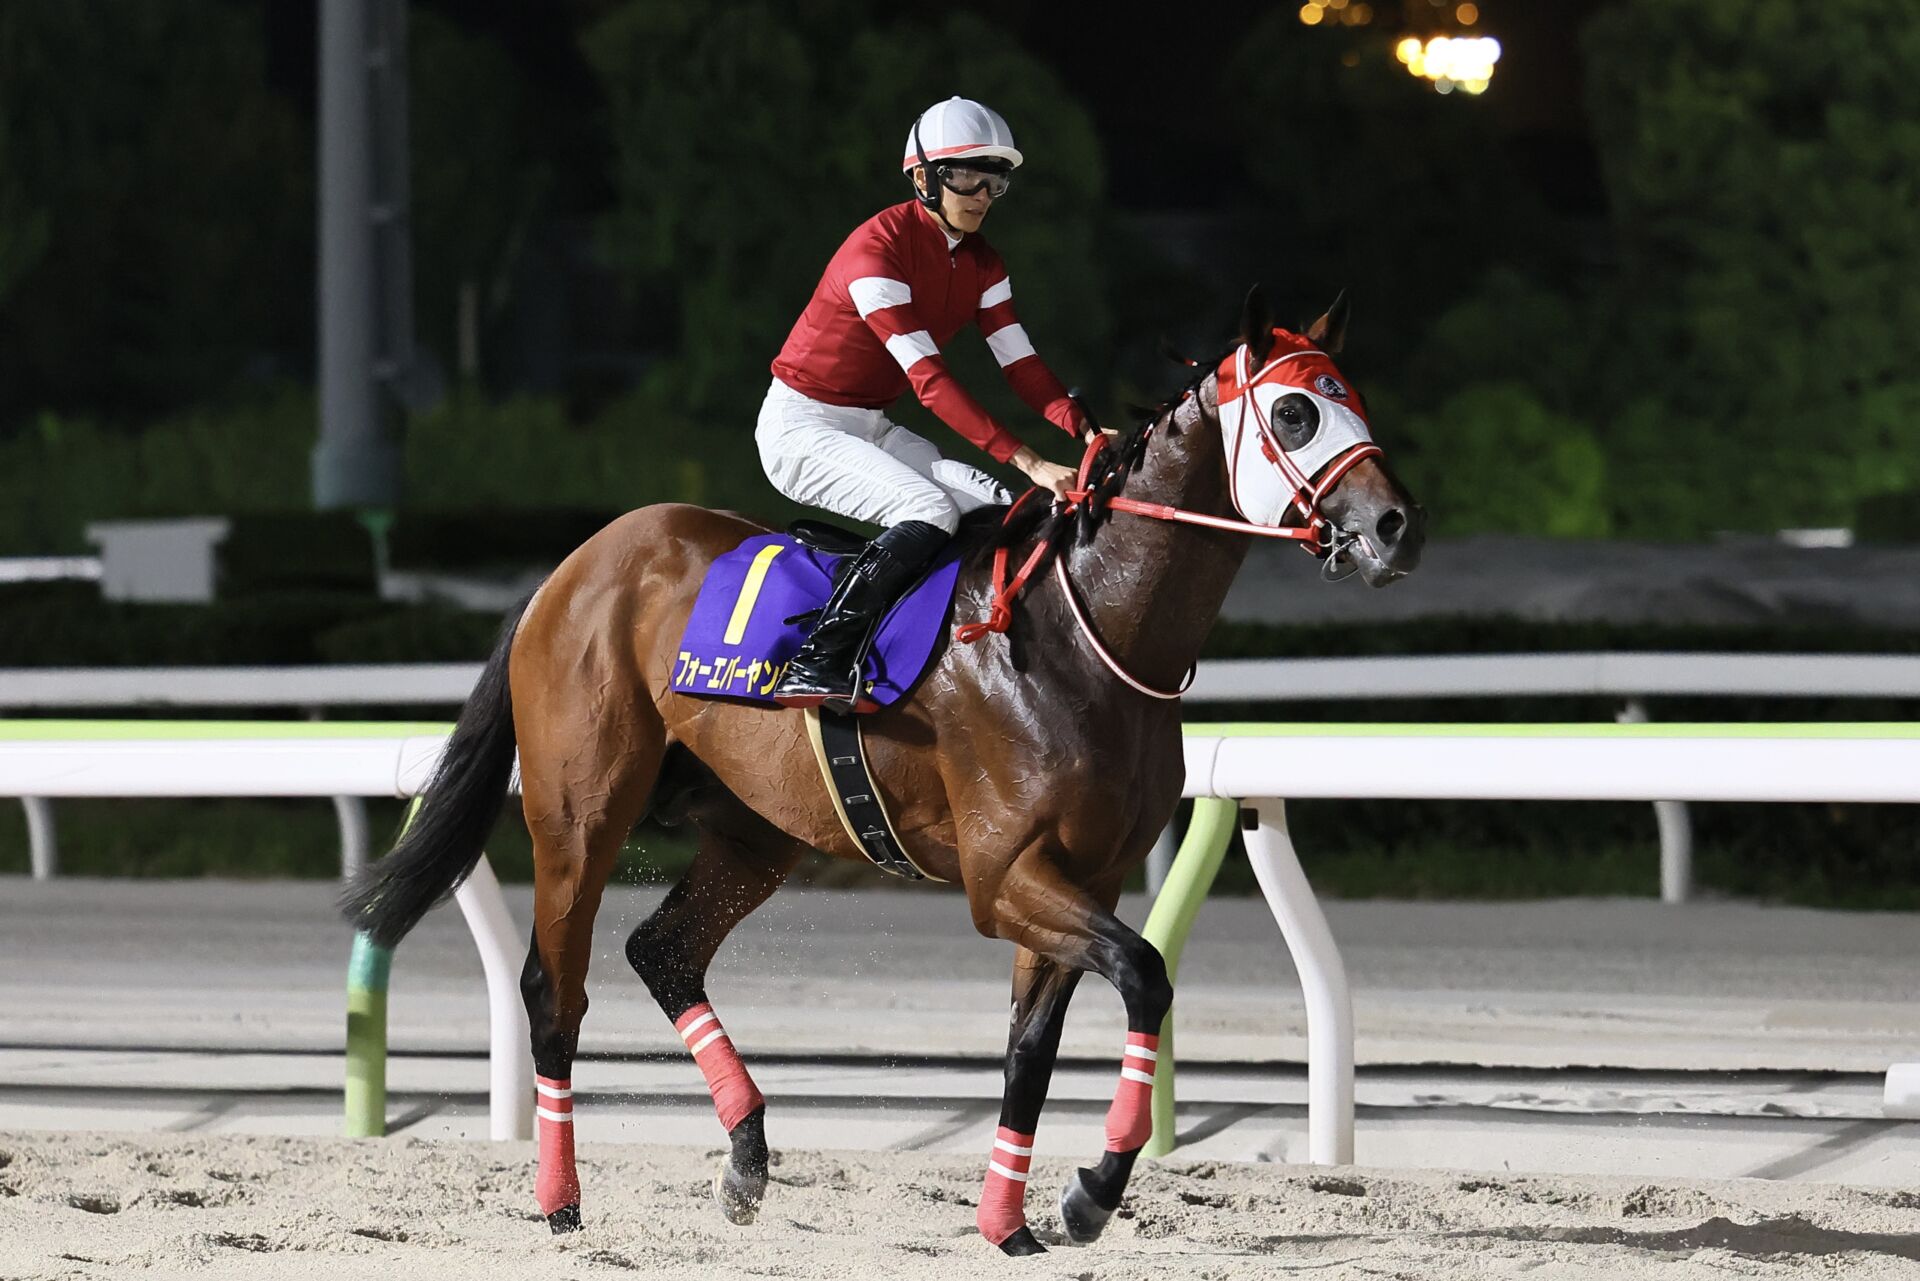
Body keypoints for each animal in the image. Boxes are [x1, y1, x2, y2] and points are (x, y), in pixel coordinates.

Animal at [341, 285, 1426, 1256]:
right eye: (1294, 410)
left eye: (1357, 397)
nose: (1394, 525)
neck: (1086, 633)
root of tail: (566, 572)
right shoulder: (1005, 876)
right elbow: (1146, 974)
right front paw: (1091, 1191)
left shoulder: (1092, 873)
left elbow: (1032, 1046)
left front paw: (1011, 1221)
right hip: (581, 811)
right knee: (551, 989)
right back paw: (562, 1200)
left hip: (756, 830)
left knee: (663, 951)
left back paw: (747, 1158)